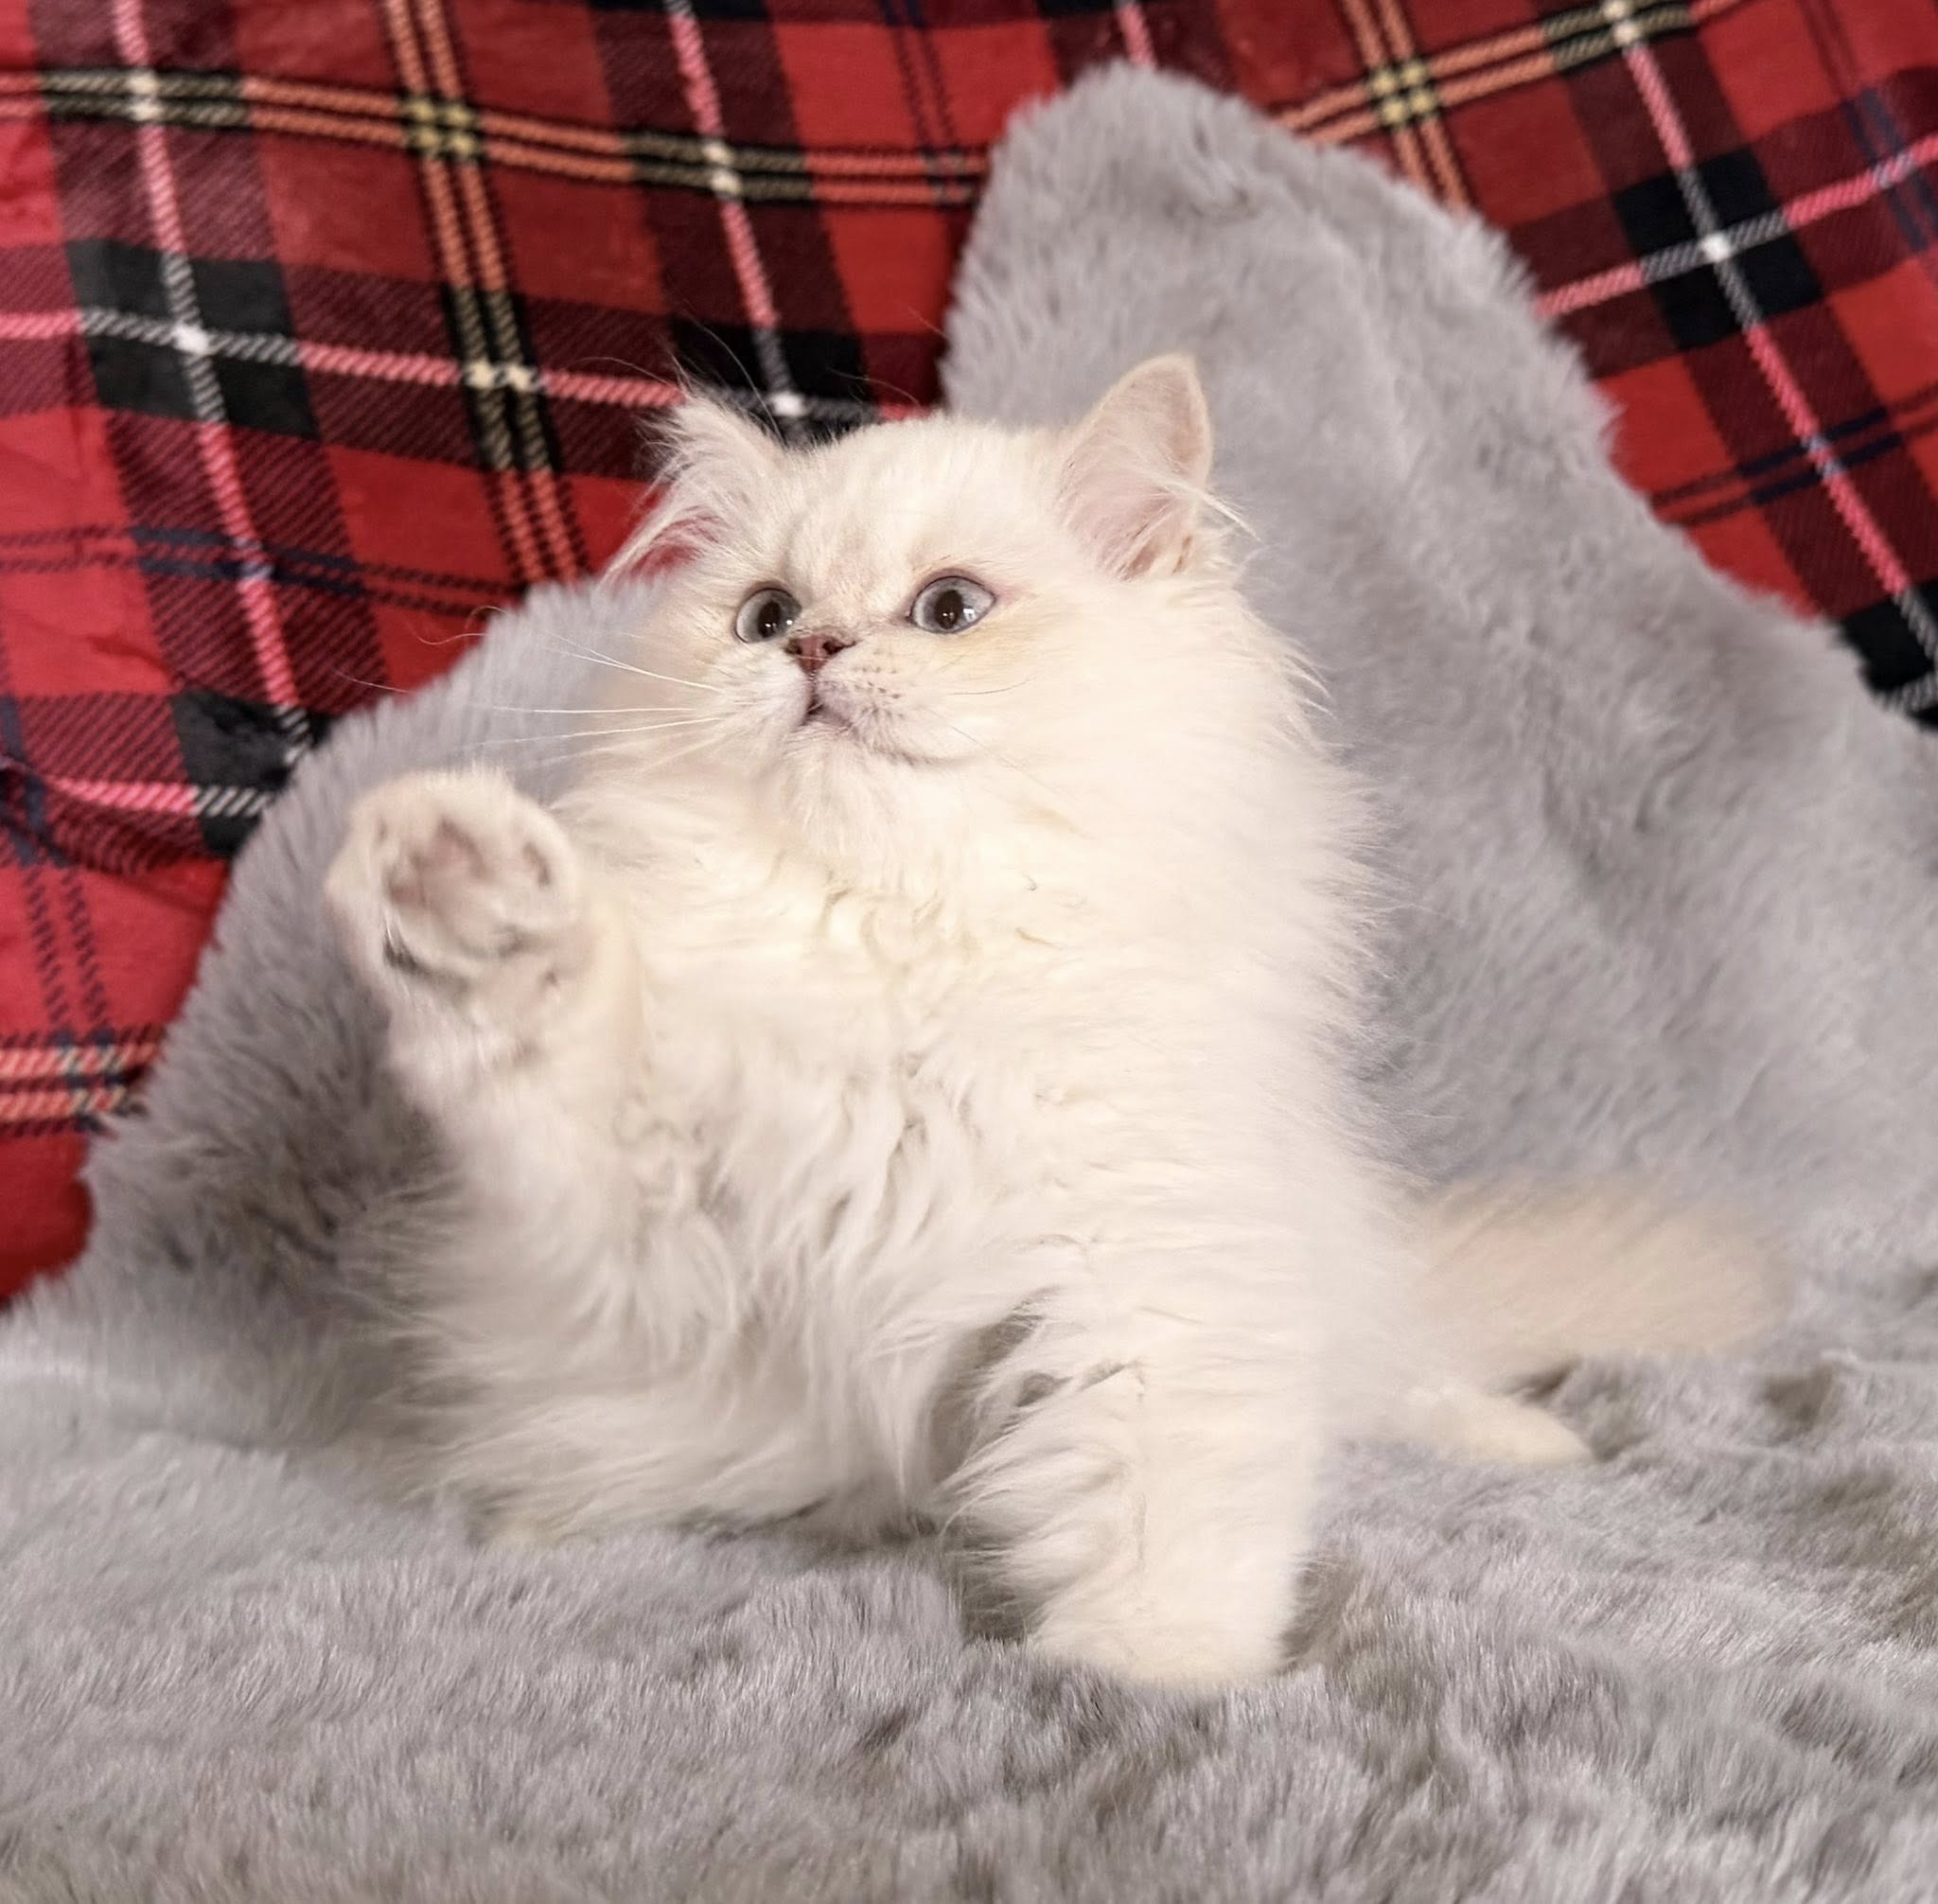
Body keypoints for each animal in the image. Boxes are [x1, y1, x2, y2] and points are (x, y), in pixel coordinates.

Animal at [325, 357, 1776, 1687]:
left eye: (948, 609)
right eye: (763, 615)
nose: (812, 649)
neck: (902, 938)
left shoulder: (1154, 1270)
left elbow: (1167, 1520)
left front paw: (1144, 1688)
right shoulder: (653, 1223)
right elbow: (547, 1022)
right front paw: (457, 889)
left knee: (1395, 1371)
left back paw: (1531, 1440)